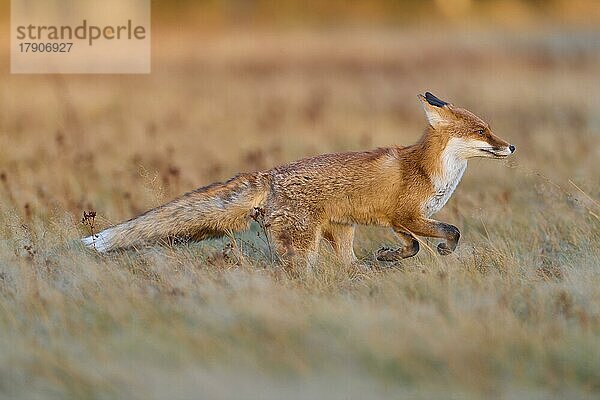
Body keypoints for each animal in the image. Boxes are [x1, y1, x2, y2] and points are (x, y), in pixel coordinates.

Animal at [83, 92, 516, 264]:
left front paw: (389, 256)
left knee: (346, 266)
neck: (429, 171)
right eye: (481, 132)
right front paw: (440, 250)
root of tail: (268, 174)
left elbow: (411, 246)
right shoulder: (407, 216)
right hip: (304, 247)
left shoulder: (398, 220)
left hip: (340, 232)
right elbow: (451, 231)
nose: (510, 146)